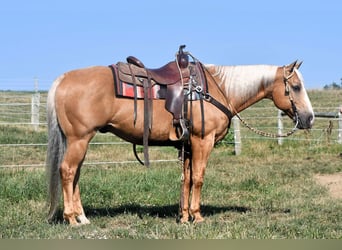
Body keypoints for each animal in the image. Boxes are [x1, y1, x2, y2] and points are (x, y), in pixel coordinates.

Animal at [46, 56, 314, 225]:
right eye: (296, 87)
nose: (309, 118)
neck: (217, 89)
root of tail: (63, 79)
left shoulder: (187, 145)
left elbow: (186, 179)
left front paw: (184, 216)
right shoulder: (203, 141)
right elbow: (198, 178)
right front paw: (197, 216)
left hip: (80, 141)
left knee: (75, 174)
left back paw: (82, 217)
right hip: (79, 139)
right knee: (67, 171)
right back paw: (71, 219)